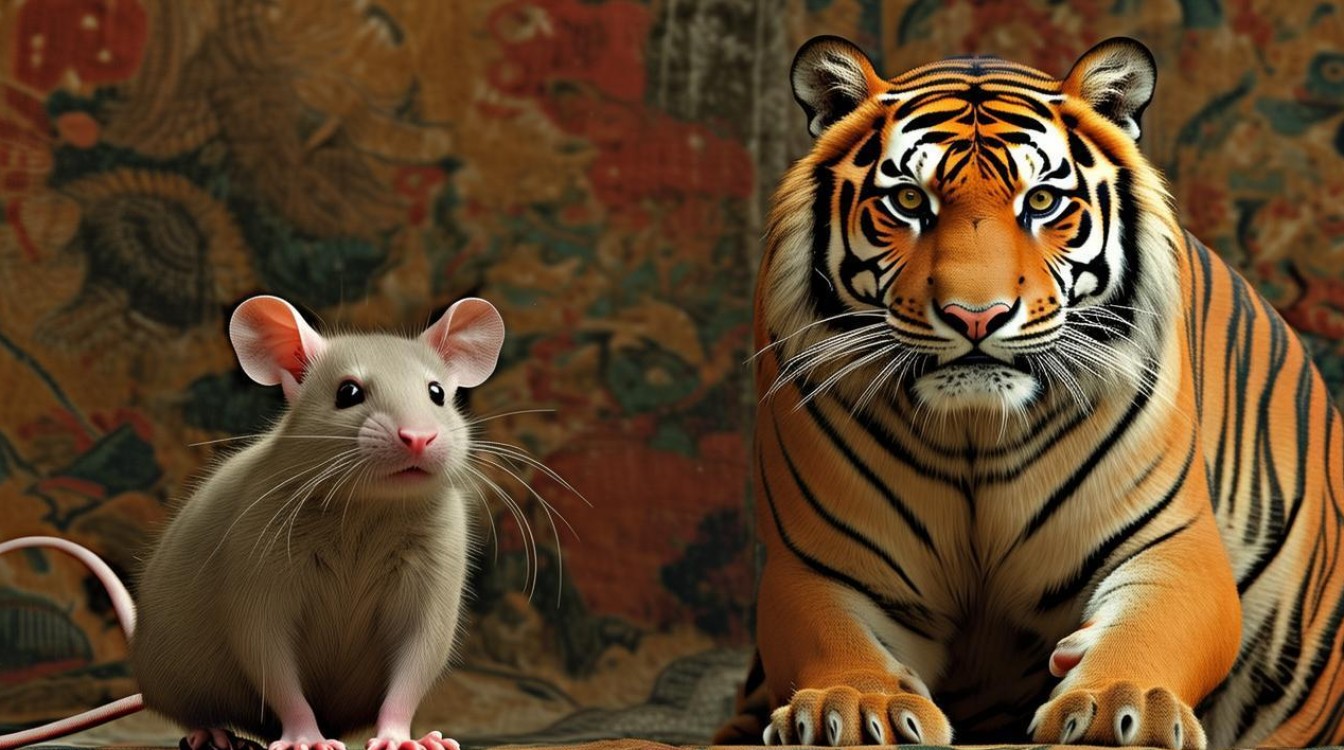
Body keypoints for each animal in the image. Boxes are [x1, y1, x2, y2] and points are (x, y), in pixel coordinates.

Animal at [713, 35, 1344, 750]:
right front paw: (853, 707)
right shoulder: (823, 565)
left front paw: (1122, 705)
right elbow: (838, 642)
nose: (976, 317)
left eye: (1041, 203)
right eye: (908, 201)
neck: (974, 432)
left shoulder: (1171, 542)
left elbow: (1155, 626)